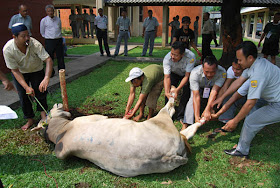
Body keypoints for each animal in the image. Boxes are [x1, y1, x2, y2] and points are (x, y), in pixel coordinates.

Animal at [32, 99, 190, 177]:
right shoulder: (92, 118)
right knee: (167, 110)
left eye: (49, 111)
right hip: (161, 120)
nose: (56, 103)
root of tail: (169, 156)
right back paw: (172, 99)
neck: (61, 130)